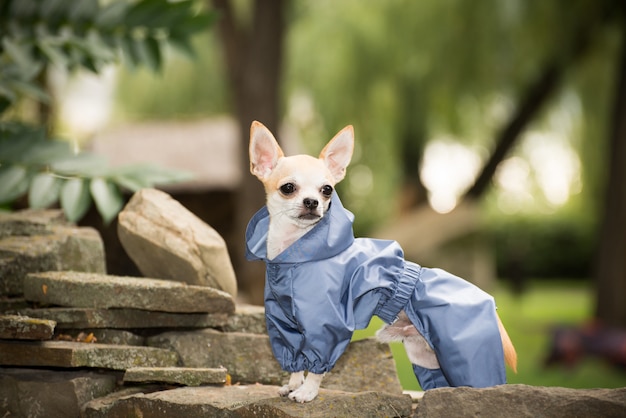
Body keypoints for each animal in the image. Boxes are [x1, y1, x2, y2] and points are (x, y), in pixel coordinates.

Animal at [246, 121, 516, 402]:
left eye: (327, 189)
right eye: (288, 187)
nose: (312, 202)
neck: (294, 257)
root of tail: (491, 303)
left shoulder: (327, 326)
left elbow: (318, 365)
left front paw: (307, 391)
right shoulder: (284, 324)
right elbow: (295, 360)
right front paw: (293, 384)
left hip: (469, 356)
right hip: (428, 356)